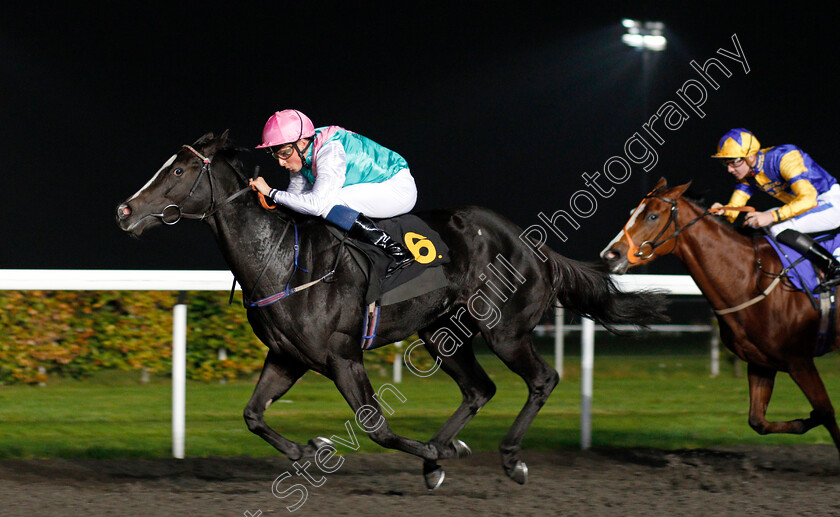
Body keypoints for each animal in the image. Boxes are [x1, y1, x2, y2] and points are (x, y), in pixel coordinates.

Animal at [115, 131, 668, 486]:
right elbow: (252, 416)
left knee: (542, 380)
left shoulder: (342, 358)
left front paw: (432, 454)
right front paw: (313, 449)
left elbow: (376, 427)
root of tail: (532, 245)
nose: (124, 211)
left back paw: (509, 459)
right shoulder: (288, 357)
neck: (282, 260)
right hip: (441, 333)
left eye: (179, 170)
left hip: (504, 330)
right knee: (479, 389)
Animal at [600, 176, 840, 456]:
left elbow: (826, 411)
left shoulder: (799, 360)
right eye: (632, 213)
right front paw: (804, 421)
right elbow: (758, 421)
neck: (752, 277)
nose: (610, 255)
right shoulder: (761, 362)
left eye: (652, 216)